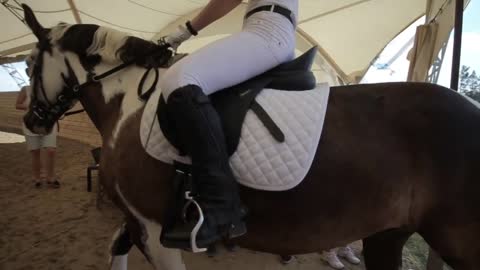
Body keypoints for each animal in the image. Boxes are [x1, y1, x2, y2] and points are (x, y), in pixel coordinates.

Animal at [20, 4, 480, 270]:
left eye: (27, 66)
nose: (32, 122)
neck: (130, 101)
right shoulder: (134, 223)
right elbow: (114, 250)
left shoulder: (150, 227)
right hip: (386, 234)